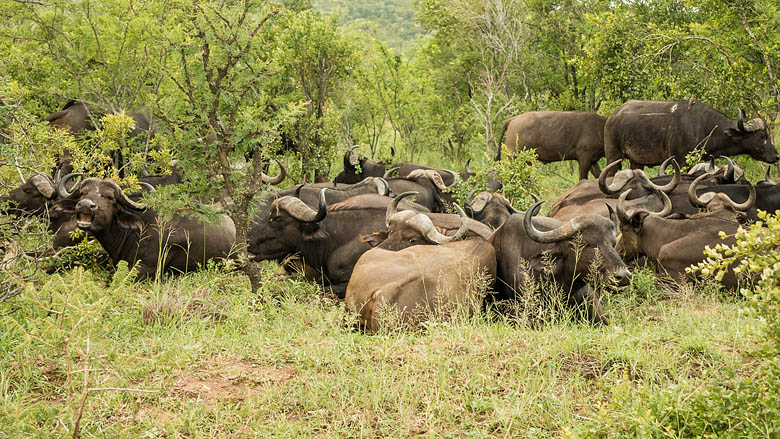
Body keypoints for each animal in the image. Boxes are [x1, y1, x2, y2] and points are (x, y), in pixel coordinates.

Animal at [604, 101, 772, 174]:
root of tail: (612, 117)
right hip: (613, 155)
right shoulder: (680, 161)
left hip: (636, 161)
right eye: (762, 135)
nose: (775, 156)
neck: (705, 127)